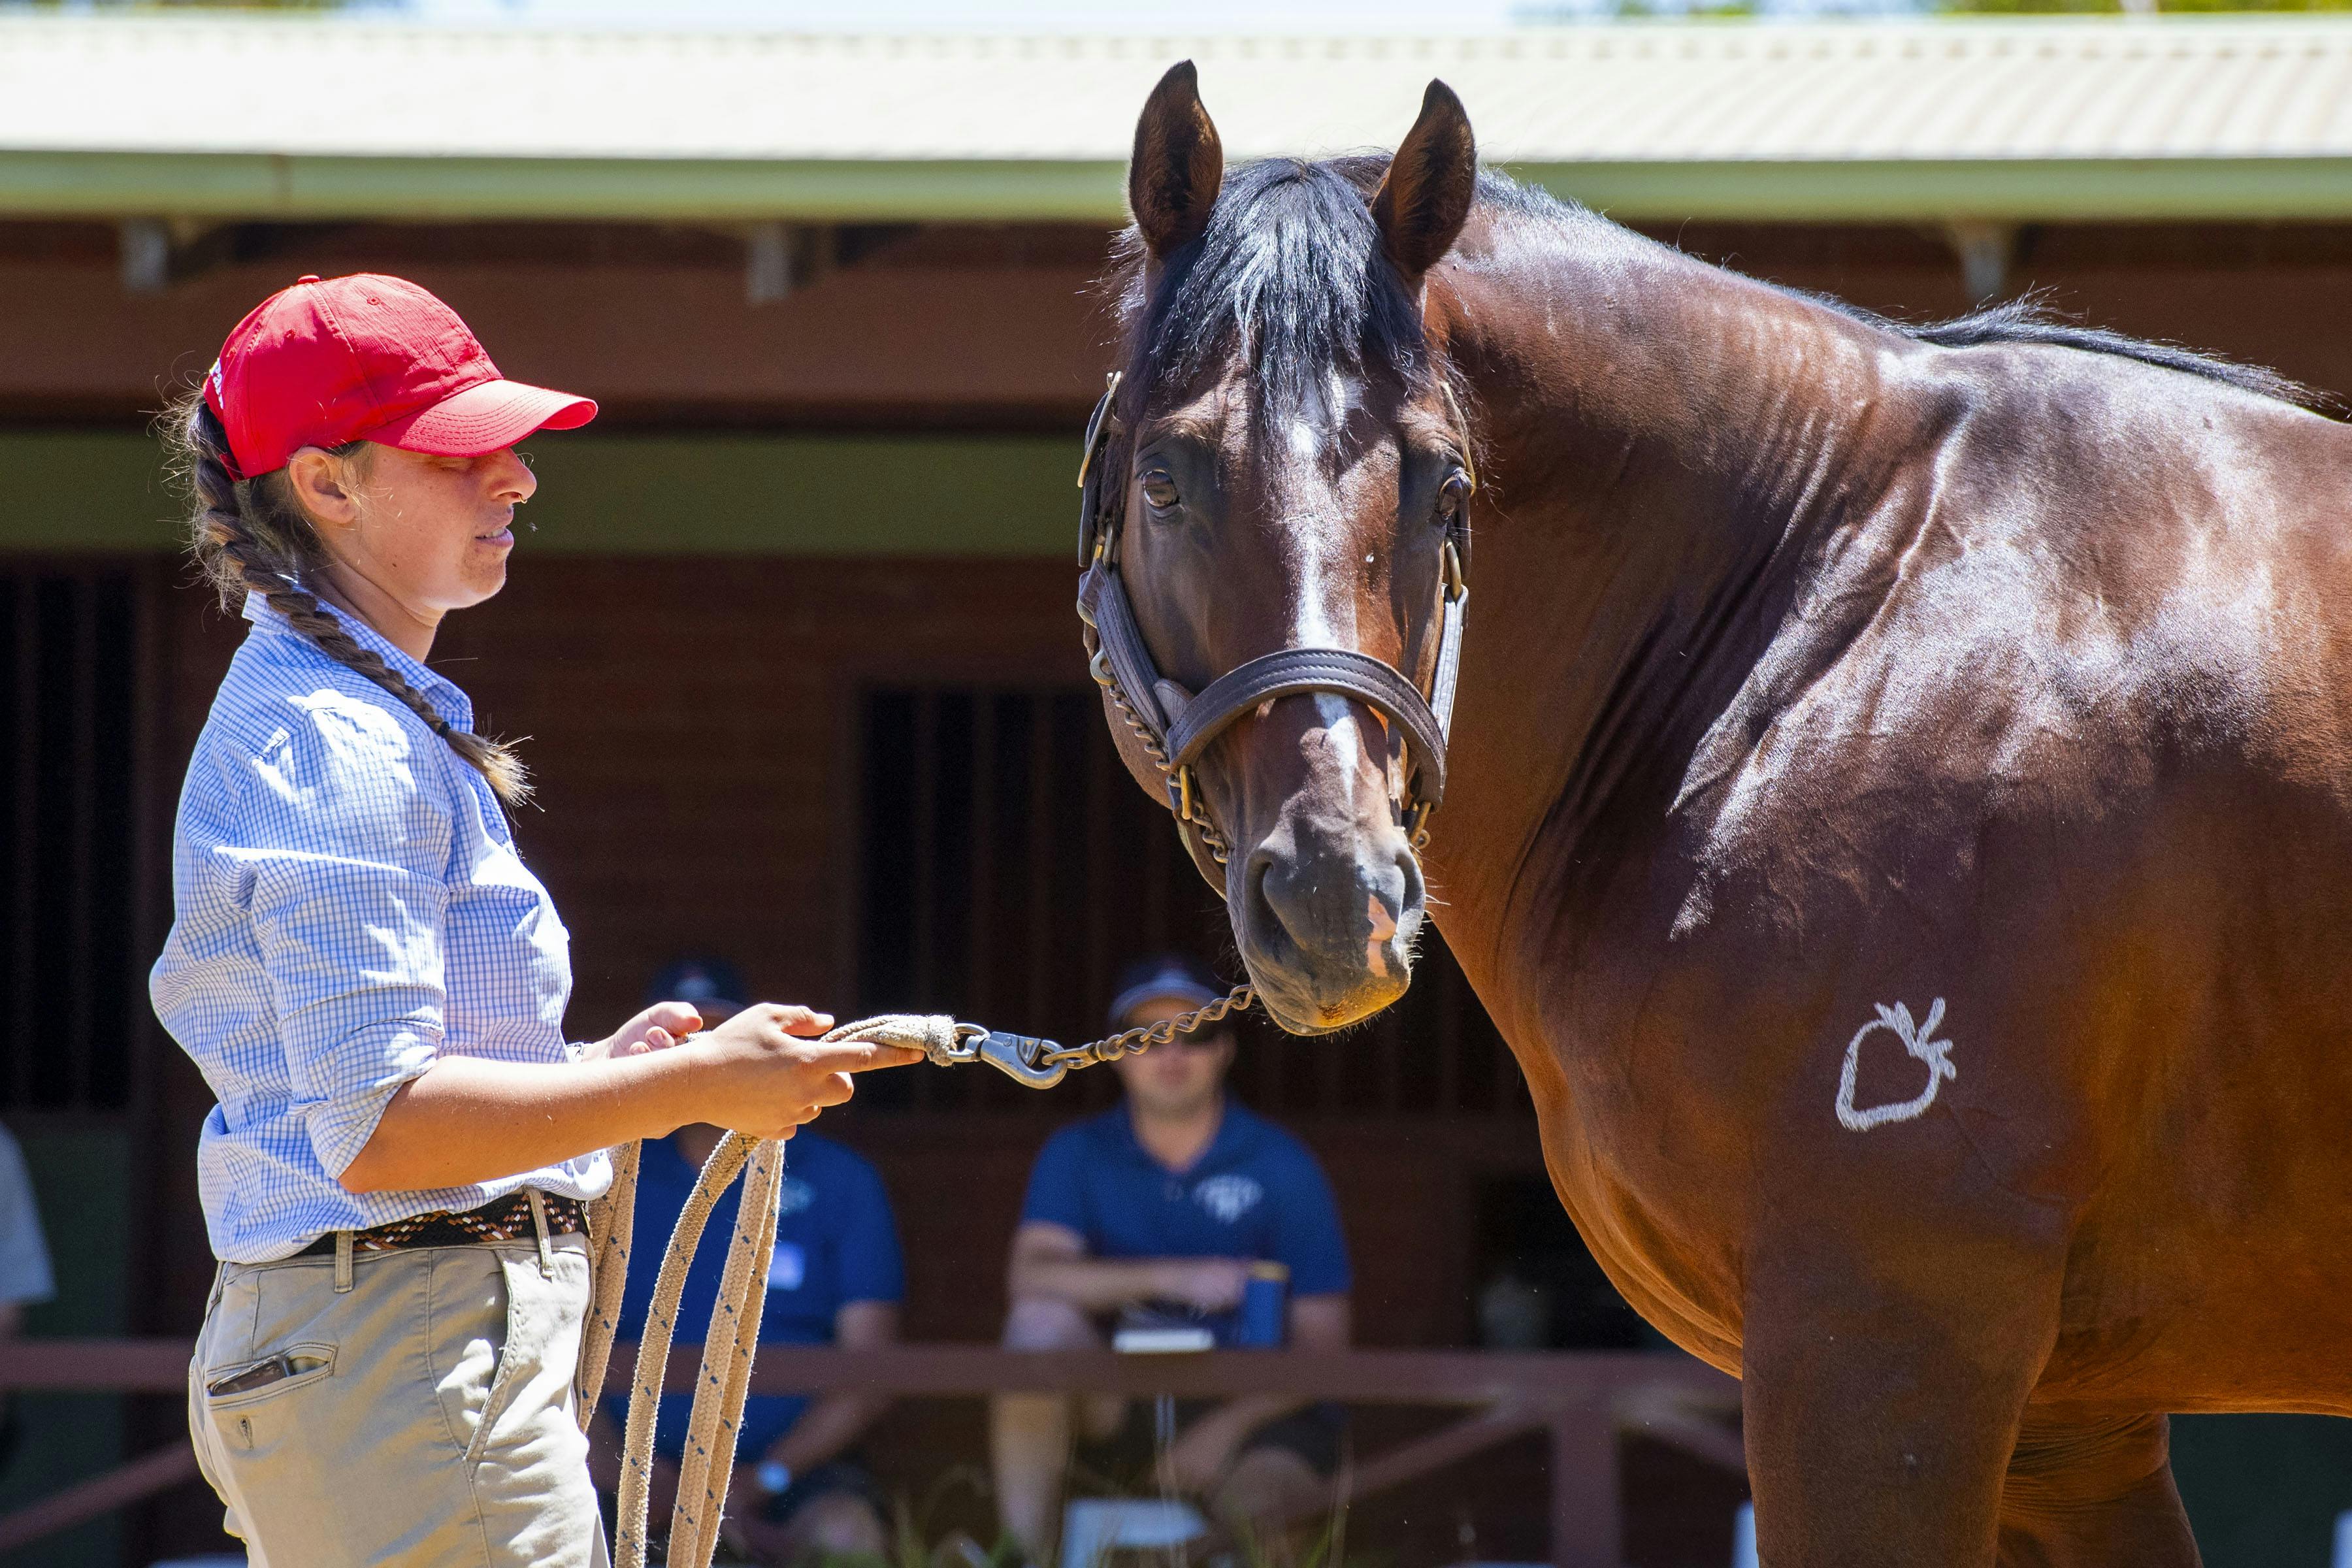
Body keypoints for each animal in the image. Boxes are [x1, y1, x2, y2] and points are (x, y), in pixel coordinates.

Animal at [1077, 61, 2352, 1568]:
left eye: (1445, 487)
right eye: (1165, 477)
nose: (1339, 895)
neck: (1834, 615)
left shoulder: (1884, 1350)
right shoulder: (2070, 1432)